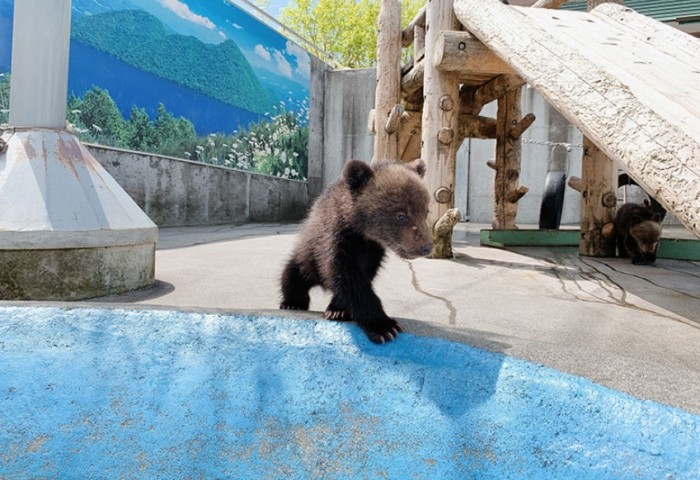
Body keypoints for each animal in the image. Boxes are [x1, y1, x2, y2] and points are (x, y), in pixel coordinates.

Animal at [280, 158, 433, 344]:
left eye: (425, 211)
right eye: (401, 215)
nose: (426, 246)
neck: (362, 233)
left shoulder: (372, 251)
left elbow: (360, 277)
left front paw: (338, 310)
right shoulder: (336, 240)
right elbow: (347, 277)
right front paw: (385, 327)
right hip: (307, 256)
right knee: (293, 275)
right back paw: (292, 302)